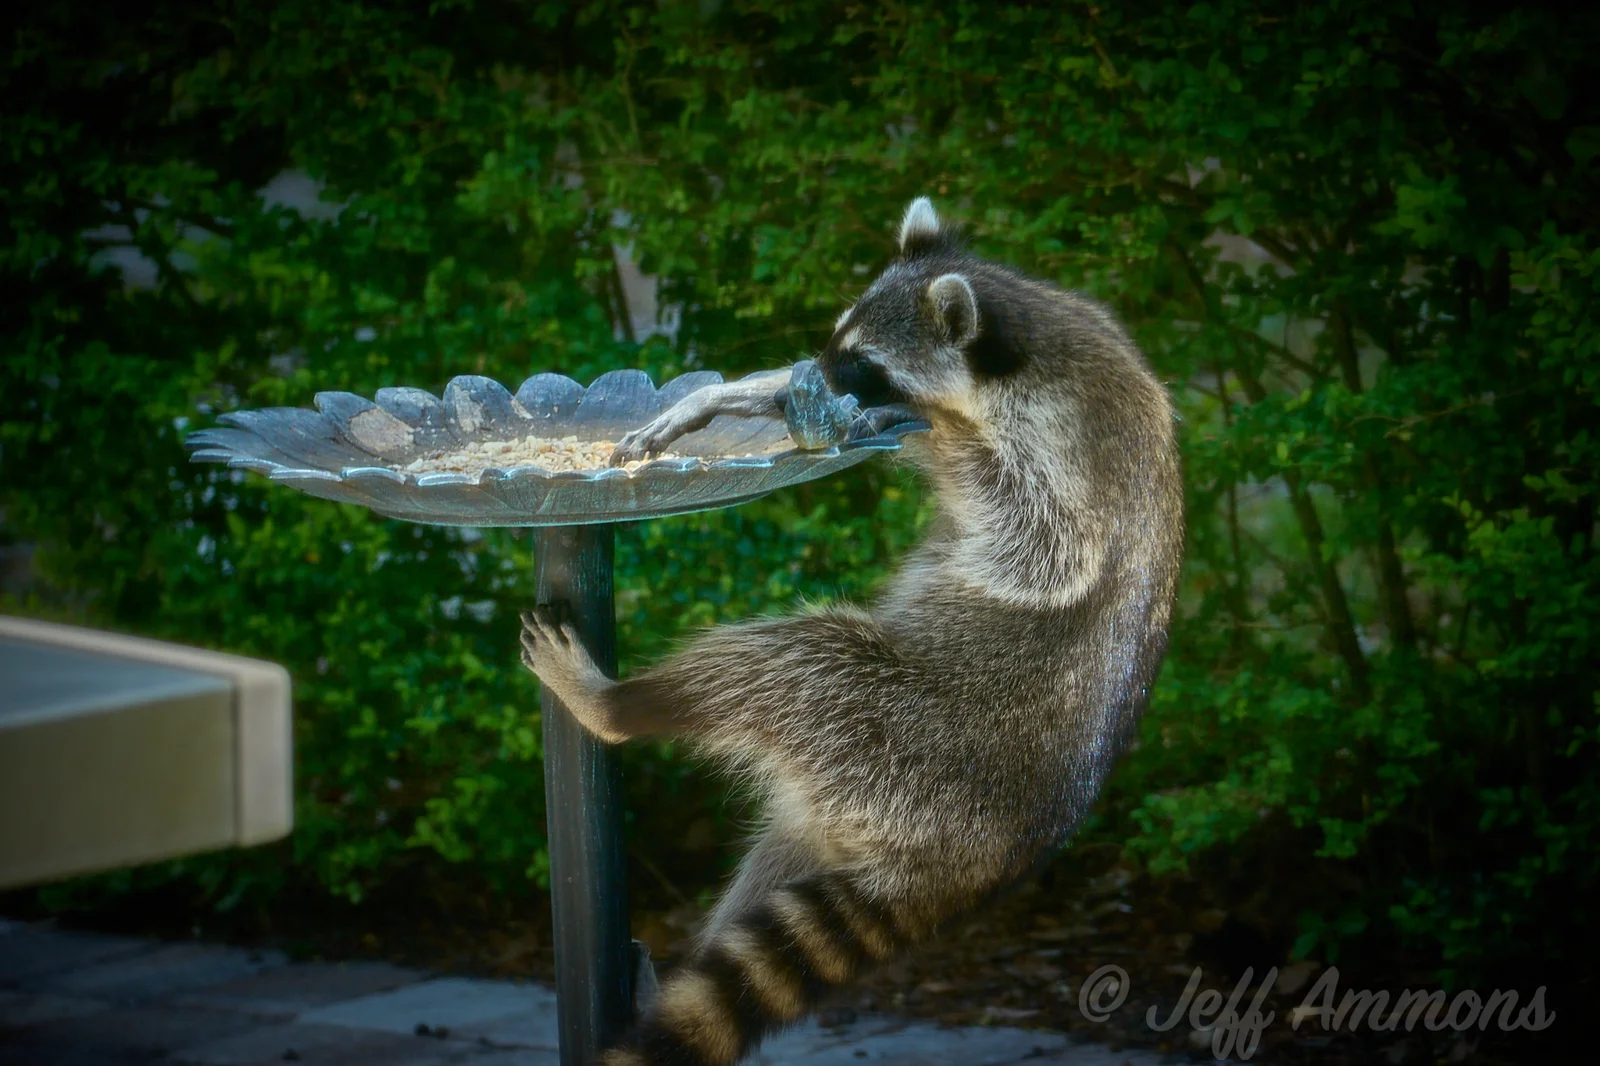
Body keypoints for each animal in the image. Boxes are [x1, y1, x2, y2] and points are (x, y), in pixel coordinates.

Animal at [521, 198, 1184, 1066]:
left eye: (864, 362)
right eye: (835, 341)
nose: (810, 381)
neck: (1020, 333)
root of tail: (982, 861)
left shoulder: (1074, 461)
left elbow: (1042, 544)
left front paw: (918, 426)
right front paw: (748, 393)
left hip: (903, 734)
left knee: (802, 661)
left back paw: (619, 705)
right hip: (852, 807)